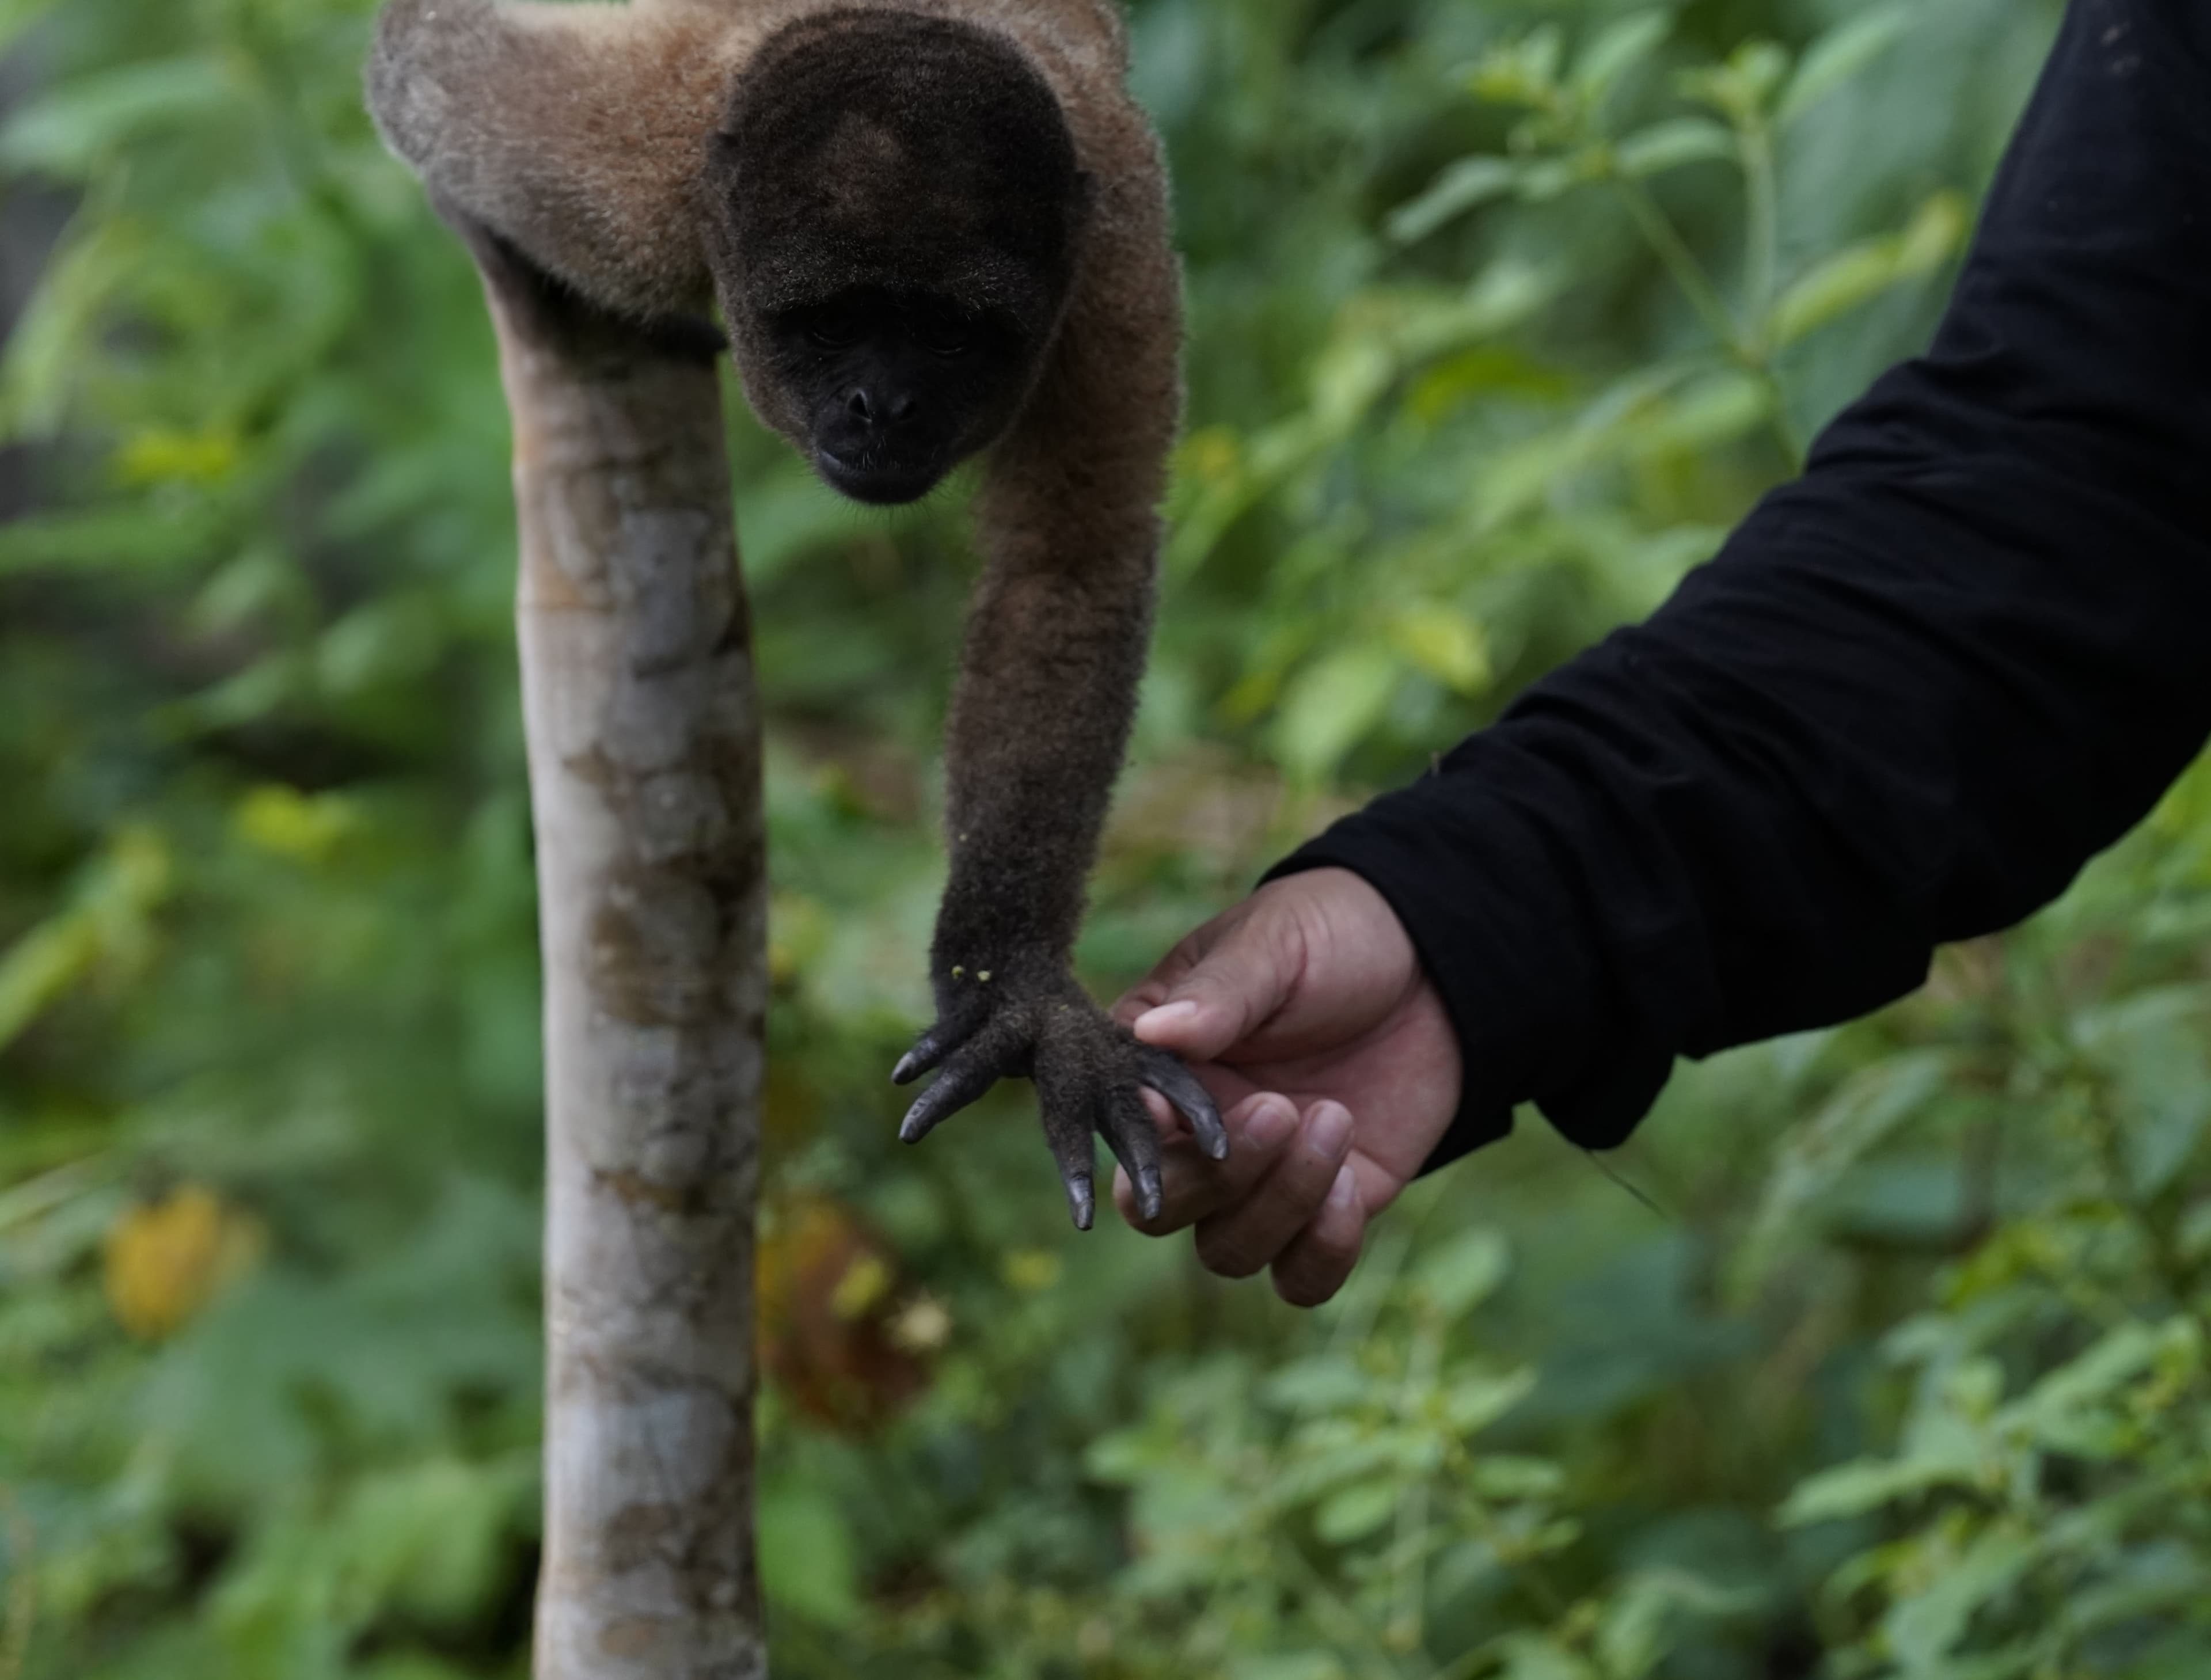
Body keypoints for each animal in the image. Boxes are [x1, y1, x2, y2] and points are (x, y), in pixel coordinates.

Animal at [366, 0, 1229, 1229]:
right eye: (832, 324)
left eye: (948, 332)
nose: (883, 406)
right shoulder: (616, 185)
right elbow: (414, 61)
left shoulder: (1107, 262)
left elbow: (1069, 567)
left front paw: (1014, 994)